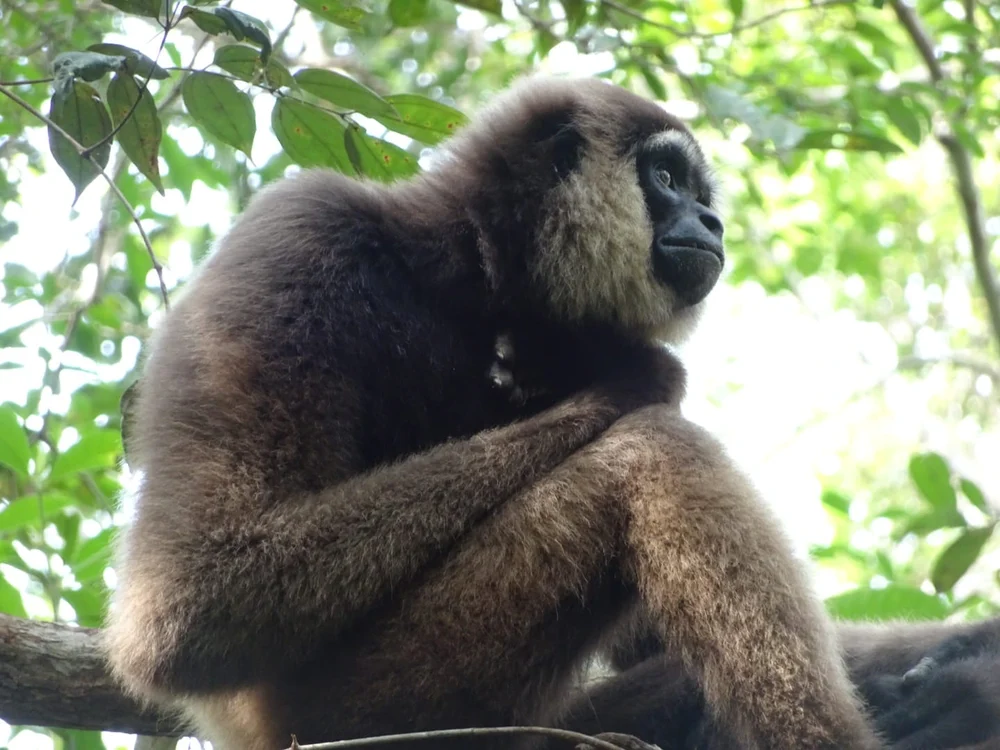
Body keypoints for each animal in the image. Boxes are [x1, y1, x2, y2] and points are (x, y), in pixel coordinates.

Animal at [105, 76, 888, 750]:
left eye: (698, 193)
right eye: (667, 179)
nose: (711, 221)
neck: (467, 276)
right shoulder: (298, 229)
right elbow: (195, 597)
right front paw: (629, 374)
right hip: (373, 701)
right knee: (651, 452)